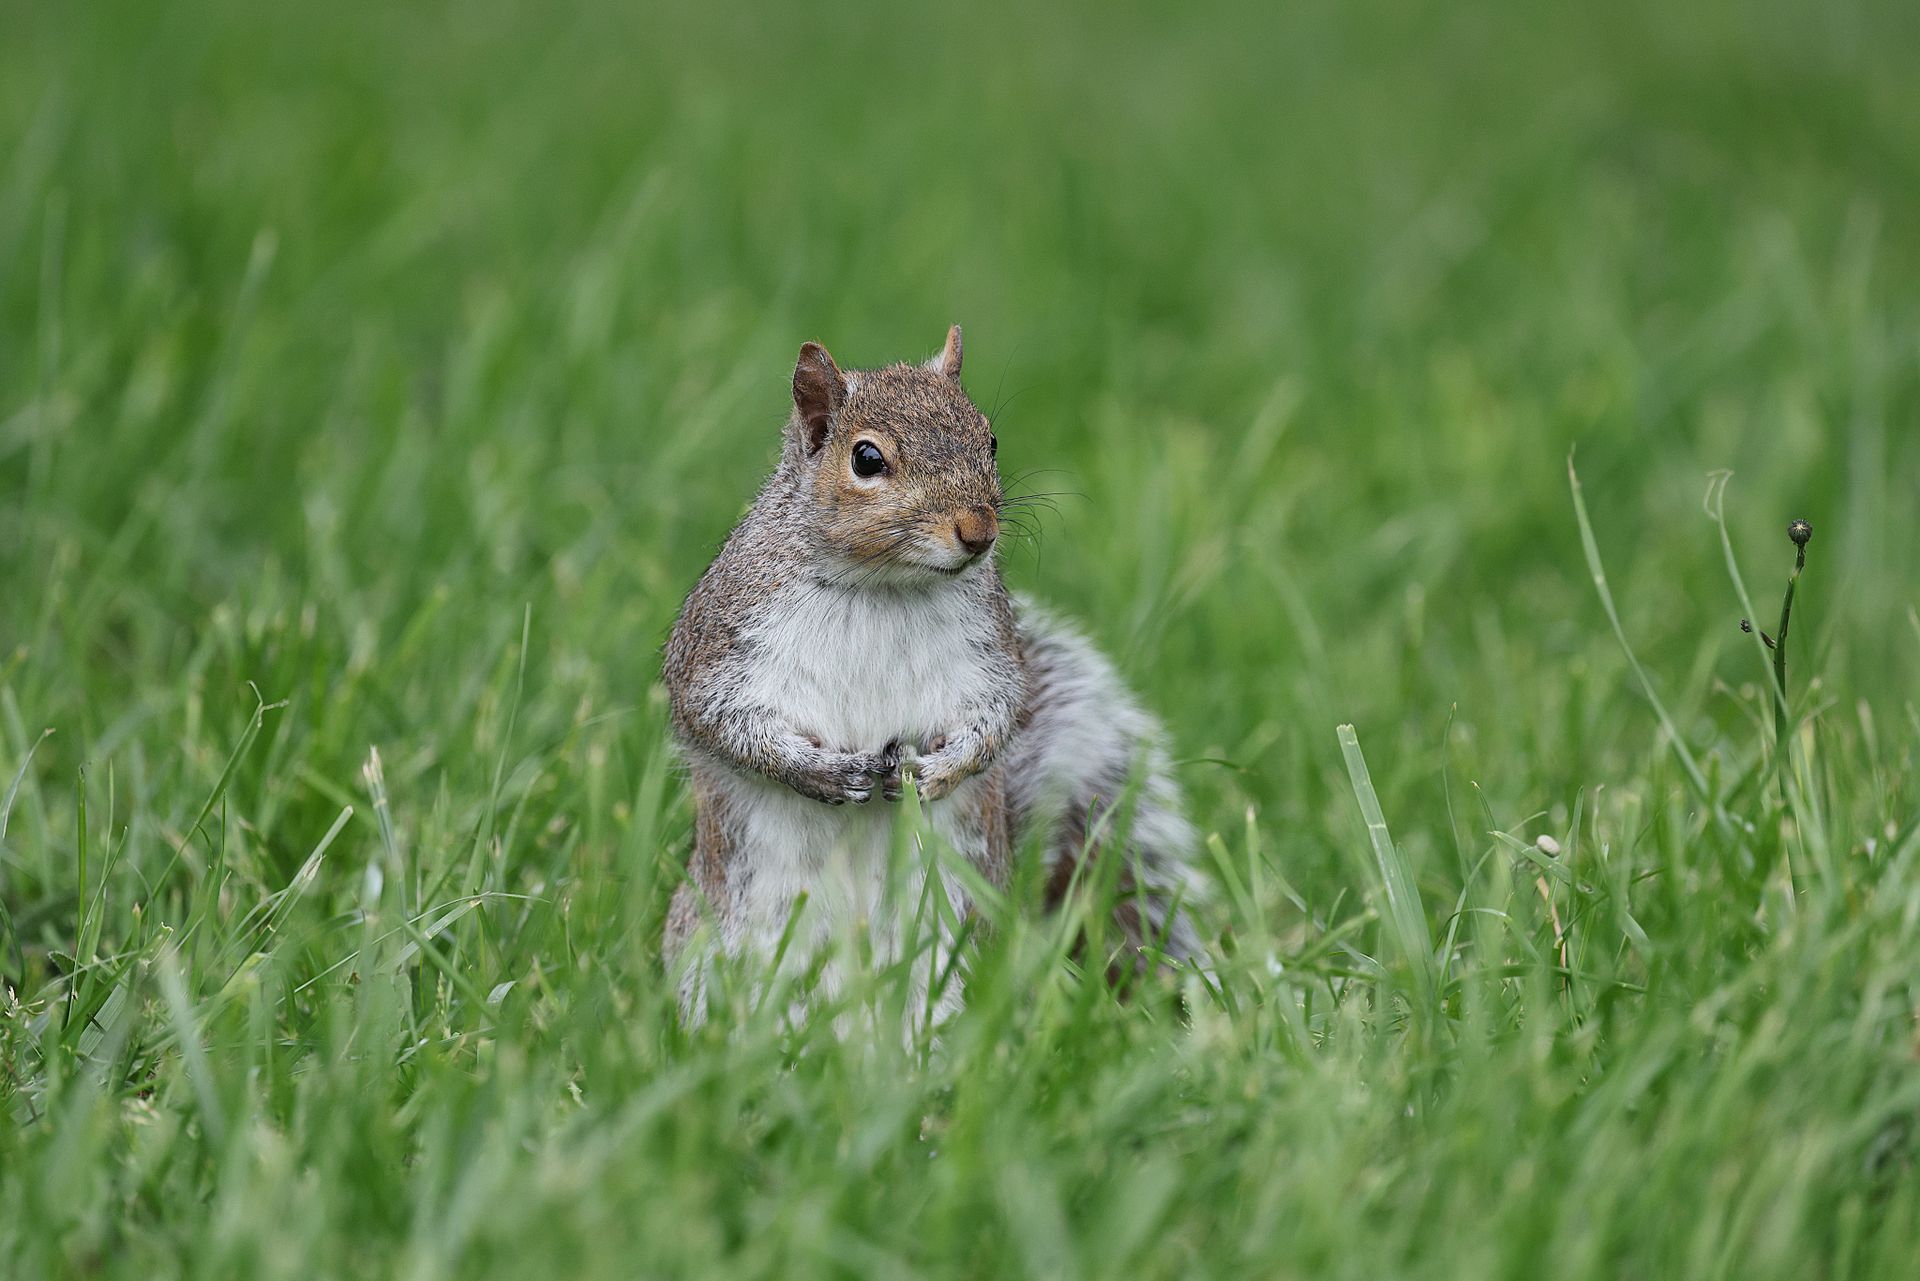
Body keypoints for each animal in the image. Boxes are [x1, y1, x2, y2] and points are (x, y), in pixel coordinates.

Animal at [663, 326, 1203, 1021]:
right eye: (867, 460)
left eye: (990, 440)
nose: (978, 531)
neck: (884, 585)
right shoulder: (722, 641)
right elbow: (719, 720)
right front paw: (820, 772)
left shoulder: (991, 655)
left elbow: (999, 721)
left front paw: (936, 774)